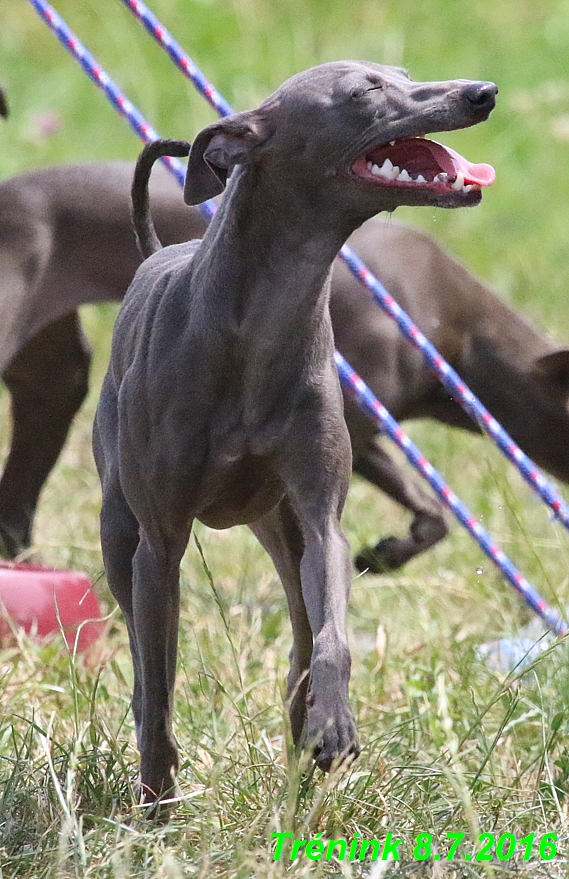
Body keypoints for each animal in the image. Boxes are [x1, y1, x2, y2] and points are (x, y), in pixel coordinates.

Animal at [91, 62, 494, 804]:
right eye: (364, 91)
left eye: (401, 75)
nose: (480, 94)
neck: (255, 328)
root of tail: (155, 253)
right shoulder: (159, 543)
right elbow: (156, 678)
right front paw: (156, 794)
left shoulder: (318, 512)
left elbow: (333, 628)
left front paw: (332, 724)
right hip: (118, 529)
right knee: (140, 643)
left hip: (278, 527)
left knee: (304, 633)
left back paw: (304, 727)